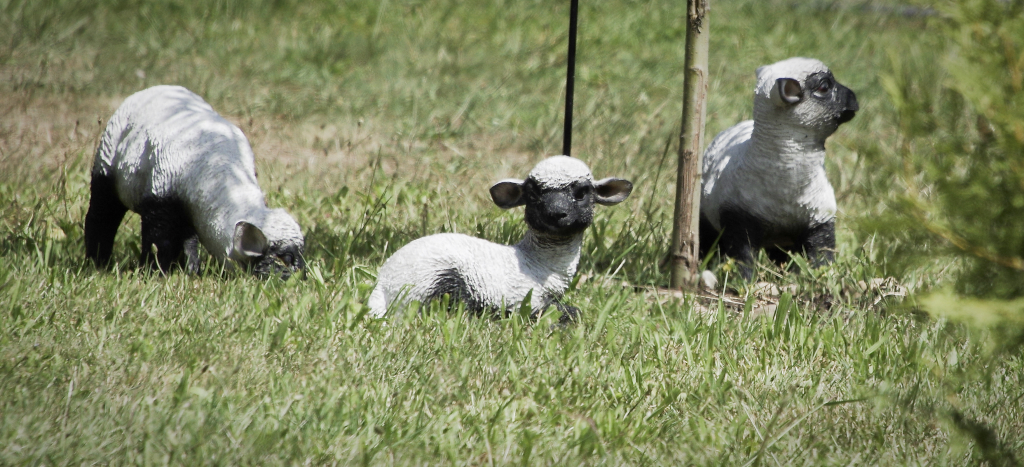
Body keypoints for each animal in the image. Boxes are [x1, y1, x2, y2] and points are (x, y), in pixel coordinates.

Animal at [84, 85, 305, 279]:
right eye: (286, 258)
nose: (302, 280)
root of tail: (153, 88)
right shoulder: (159, 196)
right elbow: (159, 242)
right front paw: (154, 273)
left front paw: (190, 271)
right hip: (106, 165)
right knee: (101, 216)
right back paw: (97, 262)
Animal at [368, 155, 632, 322]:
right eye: (533, 193)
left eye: (581, 193)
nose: (556, 213)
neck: (538, 263)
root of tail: (382, 287)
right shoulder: (525, 300)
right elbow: (568, 313)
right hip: (435, 282)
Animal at [699, 57, 859, 279]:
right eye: (824, 86)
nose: (854, 97)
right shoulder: (737, 222)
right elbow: (743, 258)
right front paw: (744, 282)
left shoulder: (821, 218)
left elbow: (822, 254)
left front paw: (823, 277)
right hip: (706, 215)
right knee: (707, 244)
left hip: (783, 241)